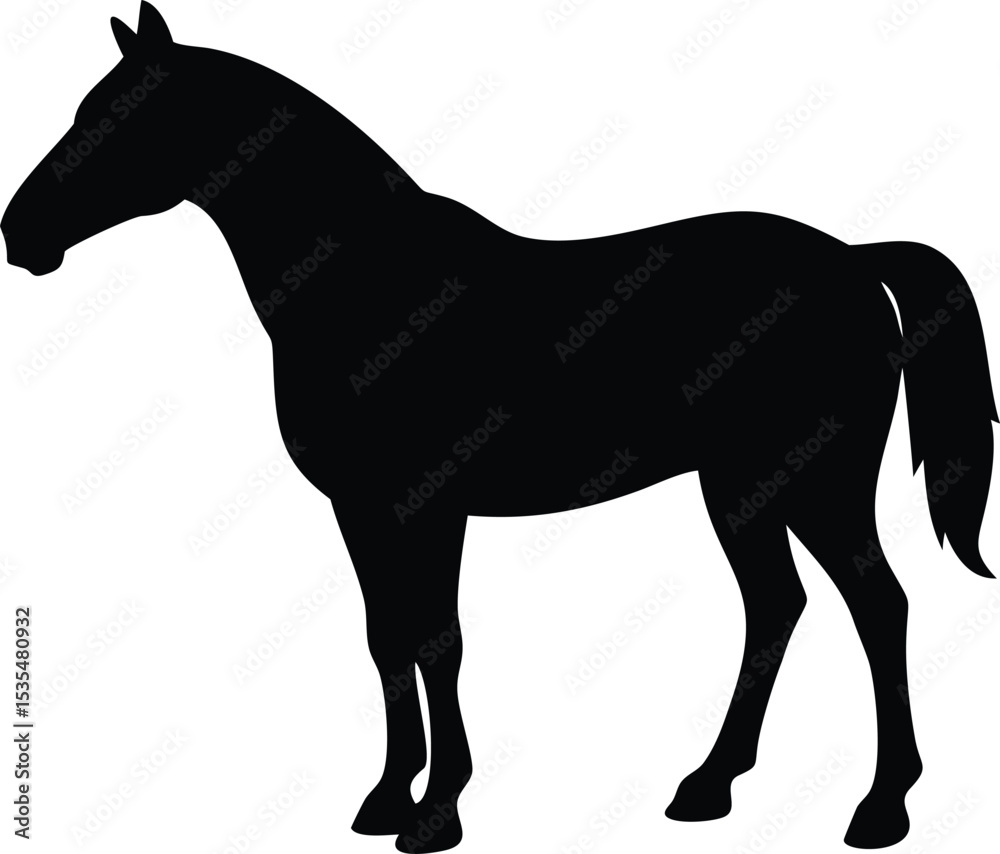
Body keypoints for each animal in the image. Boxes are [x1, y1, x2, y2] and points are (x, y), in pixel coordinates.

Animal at [3, 4, 996, 852]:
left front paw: (437, 811)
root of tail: (854, 260)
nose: (20, 234)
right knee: (778, 607)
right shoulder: (363, 512)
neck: (367, 284)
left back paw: (881, 807)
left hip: (819, 484)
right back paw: (709, 786)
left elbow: (439, 641)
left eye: (122, 118)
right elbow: (387, 639)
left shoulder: (430, 505)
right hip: (744, 488)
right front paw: (384, 799)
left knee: (879, 607)